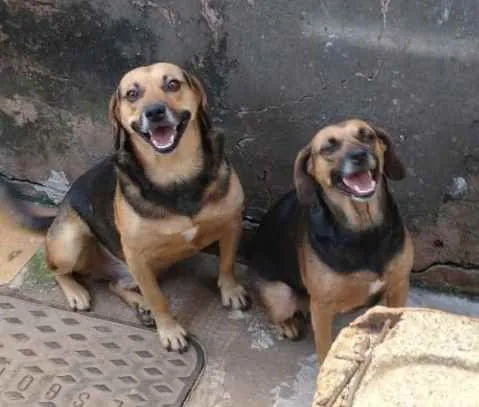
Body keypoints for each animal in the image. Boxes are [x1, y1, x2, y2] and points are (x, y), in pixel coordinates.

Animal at [2, 63, 251, 354]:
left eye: (172, 84)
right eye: (132, 94)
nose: (154, 112)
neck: (174, 173)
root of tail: (60, 209)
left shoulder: (232, 223)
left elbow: (227, 264)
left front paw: (231, 291)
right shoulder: (138, 256)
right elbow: (158, 298)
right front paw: (170, 330)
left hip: (148, 264)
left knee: (114, 284)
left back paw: (139, 305)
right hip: (71, 241)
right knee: (56, 269)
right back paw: (77, 293)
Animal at [249, 118, 414, 364]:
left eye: (367, 135)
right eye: (328, 147)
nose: (359, 155)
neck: (364, 230)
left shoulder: (399, 285)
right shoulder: (322, 307)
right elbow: (325, 350)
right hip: (281, 295)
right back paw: (289, 324)